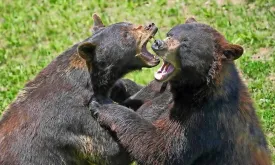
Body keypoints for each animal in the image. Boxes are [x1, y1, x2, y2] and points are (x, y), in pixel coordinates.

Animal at [90, 18, 272, 165]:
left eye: (185, 43)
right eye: (170, 34)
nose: (159, 44)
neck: (192, 87)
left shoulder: (201, 118)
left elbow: (161, 148)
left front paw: (103, 106)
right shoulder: (163, 89)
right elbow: (144, 92)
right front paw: (118, 87)